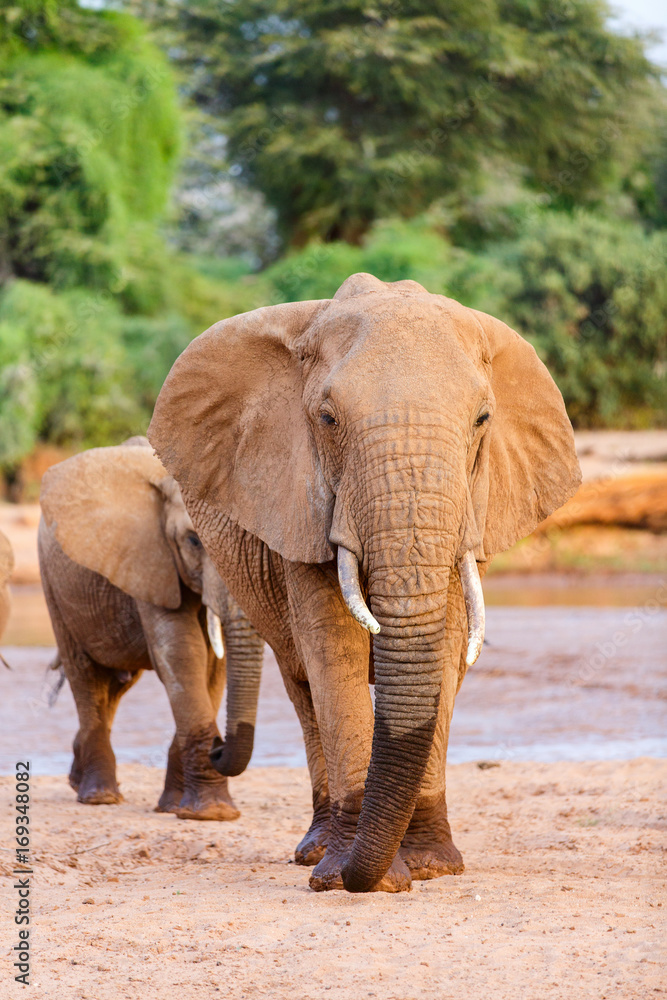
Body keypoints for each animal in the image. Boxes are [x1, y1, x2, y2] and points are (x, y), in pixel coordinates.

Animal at [38, 437, 264, 819]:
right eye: (194, 541)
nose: (219, 748)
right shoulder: (149, 556)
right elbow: (181, 655)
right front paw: (213, 814)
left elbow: (212, 668)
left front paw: (177, 808)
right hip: (52, 583)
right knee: (86, 675)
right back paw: (98, 797)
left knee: (114, 687)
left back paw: (78, 780)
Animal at [148, 273, 581, 890]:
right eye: (327, 419)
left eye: (482, 420)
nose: (356, 874)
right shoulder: (300, 502)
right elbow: (335, 651)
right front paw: (348, 878)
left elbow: (446, 645)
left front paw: (431, 868)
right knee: (303, 684)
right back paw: (318, 851)